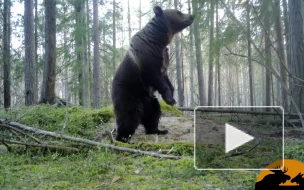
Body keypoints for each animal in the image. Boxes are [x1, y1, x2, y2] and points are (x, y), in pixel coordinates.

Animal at [111, 5, 192, 142]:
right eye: (179, 12)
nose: (192, 16)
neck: (159, 40)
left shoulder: (163, 57)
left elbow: (166, 78)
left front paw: (172, 95)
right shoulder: (147, 57)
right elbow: (155, 77)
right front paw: (170, 100)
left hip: (148, 99)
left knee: (153, 113)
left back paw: (158, 130)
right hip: (127, 92)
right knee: (129, 115)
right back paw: (123, 138)